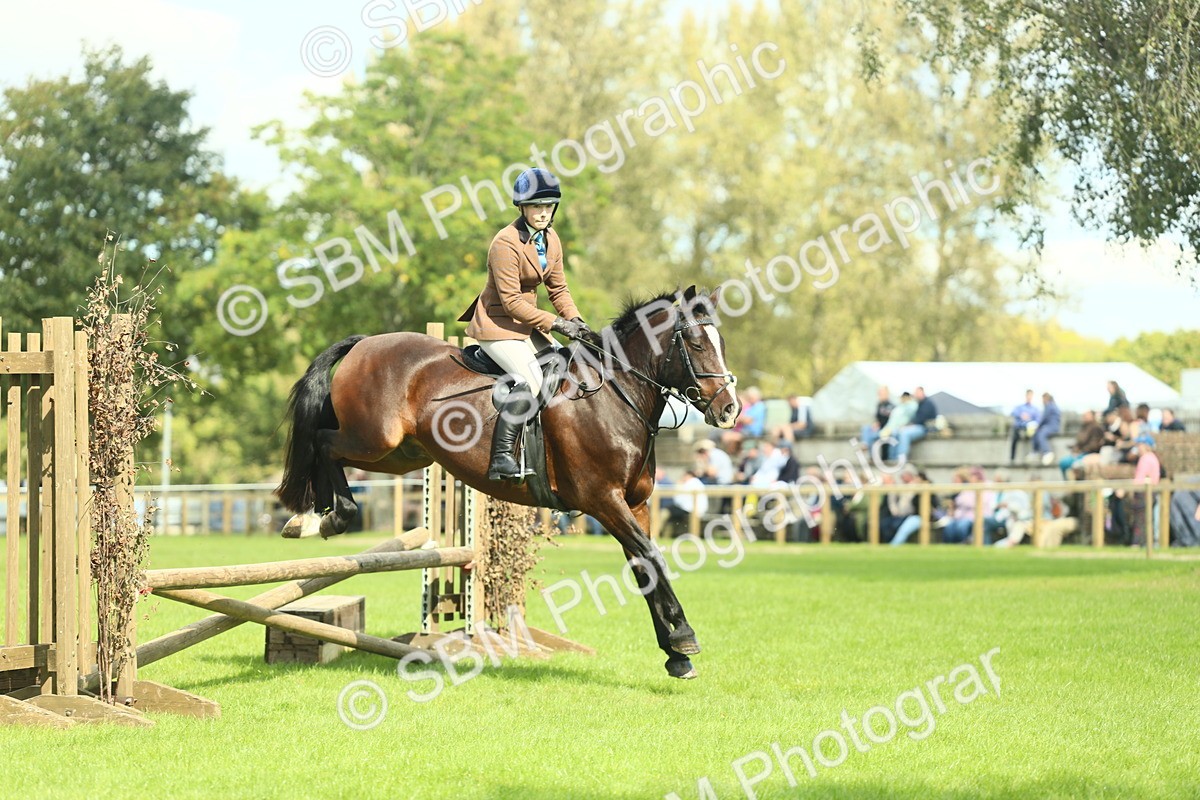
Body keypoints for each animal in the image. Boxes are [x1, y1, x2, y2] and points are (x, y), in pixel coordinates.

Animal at [275, 286, 741, 678]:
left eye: (720, 342)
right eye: (696, 343)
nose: (730, 410)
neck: (615, 394)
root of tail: (366, 342)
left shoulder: (636, 505)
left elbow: (645, 565)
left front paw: (675, 655)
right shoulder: (603, 501)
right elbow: (653, 557)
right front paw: (685, 638)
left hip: (401, 454)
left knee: (331, 450)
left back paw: (315, 517)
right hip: (374, 439)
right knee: (322, 443)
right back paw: (321, 518)